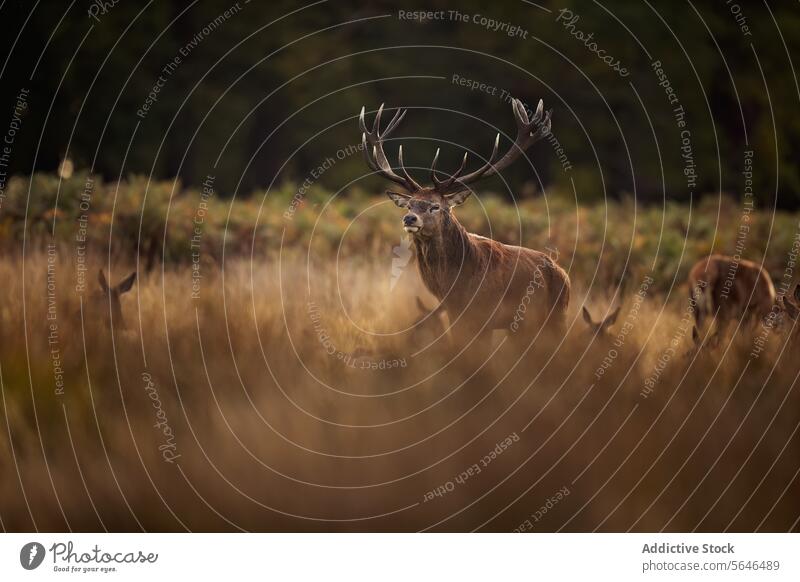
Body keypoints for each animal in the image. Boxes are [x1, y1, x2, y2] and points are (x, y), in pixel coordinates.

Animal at [360, 97, 572, 340]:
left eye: (435, 206)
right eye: (410, 204)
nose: (409, 219)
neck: (454, 287)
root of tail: (565, 275)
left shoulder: (483, 316)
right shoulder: (454, 314)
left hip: (552, 317)